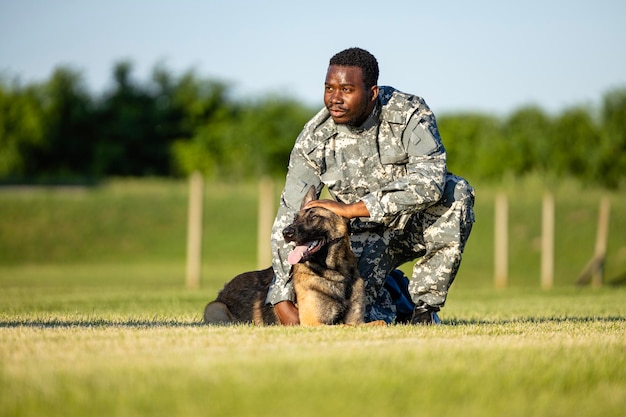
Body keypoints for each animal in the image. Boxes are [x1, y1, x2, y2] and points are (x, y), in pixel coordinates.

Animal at [202, 186, 366, 324]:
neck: (336, 273)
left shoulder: (356, 320)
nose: (286, 233)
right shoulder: (314, 323)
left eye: (314, 217)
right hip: (215, 308)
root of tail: (223, 291)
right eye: (295, 218)